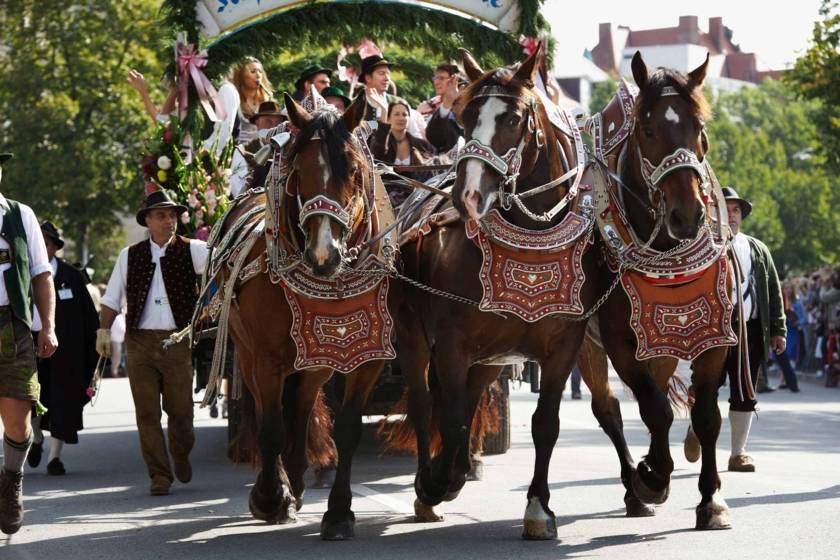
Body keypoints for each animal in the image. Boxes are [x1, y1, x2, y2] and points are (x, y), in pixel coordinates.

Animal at [215, 92, 402, 540]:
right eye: (299, 172)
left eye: (354, 170)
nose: (323, 254)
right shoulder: (265, 358)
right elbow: (269, 429)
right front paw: (269, 498)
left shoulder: (366, 357)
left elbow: (346, 429)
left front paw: (338, 513)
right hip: (247, 352)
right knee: (270, 412)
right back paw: (282, 486)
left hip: (314, 363)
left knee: (300, 408)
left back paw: (298, 479)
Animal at [398, 47, 652, 540]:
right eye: (465, 118)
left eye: (513, 119)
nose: (467, 197)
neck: (529, 239)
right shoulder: (451, 345)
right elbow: (451, 420)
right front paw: (437, 481)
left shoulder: (565, 343)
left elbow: (545, 423)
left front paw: (538, 508)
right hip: (416, 337)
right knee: (423, 402)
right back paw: (431, 483)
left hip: (497, 357)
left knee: (602, 407)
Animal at [592, 52, 736, 528]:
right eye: (648, 129)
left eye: (699, 126)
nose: (686, 215)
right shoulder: (619, 342)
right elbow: (653, 409)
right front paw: (652, 477)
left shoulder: (713, 336)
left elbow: (706, 416)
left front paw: (711, 500)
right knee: (611, 410)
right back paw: (636, 487)